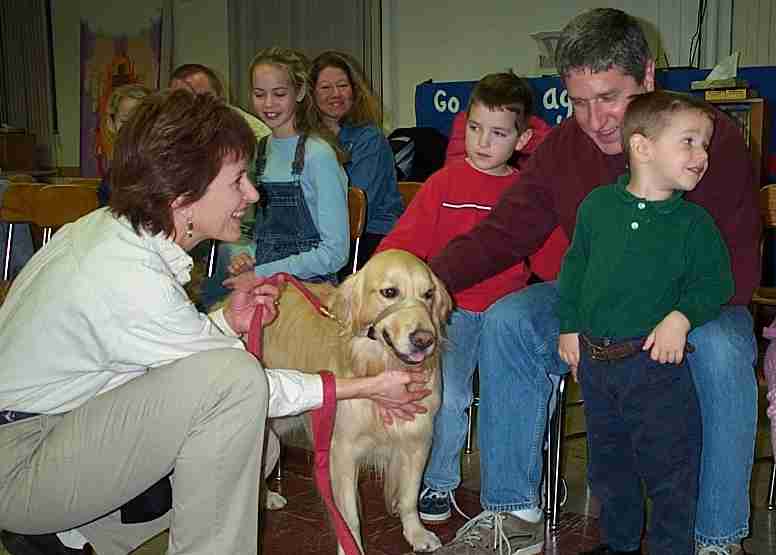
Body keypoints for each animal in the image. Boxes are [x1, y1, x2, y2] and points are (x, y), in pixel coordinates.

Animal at [264, 250, 452, 552]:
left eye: (428, 294)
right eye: (390, 292)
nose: (424, 340)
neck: (380, 363)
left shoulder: (418, 439)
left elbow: (409, 497)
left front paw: (416, 534)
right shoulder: (342, 452)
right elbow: (349, 516)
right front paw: (350, 546)